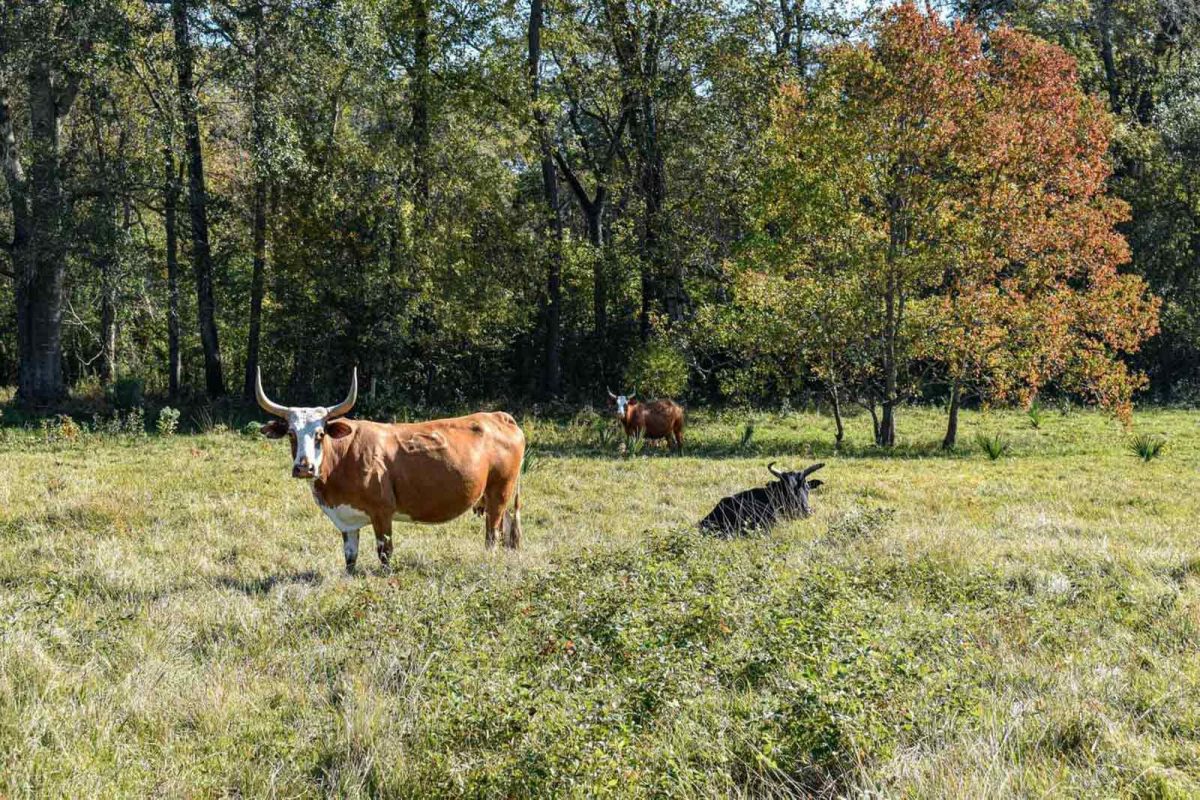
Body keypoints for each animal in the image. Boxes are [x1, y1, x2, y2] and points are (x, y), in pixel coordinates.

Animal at [258, 369, 525, 568]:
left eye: (320, 434)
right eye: (291, 433)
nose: (304, 467)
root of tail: (499, 416)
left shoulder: (382, 512)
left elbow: (384, 553)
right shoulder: (348, 519)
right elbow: (350, 557)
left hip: (499, 493)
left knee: (492, 535)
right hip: (497, 498)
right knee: (506, 529)